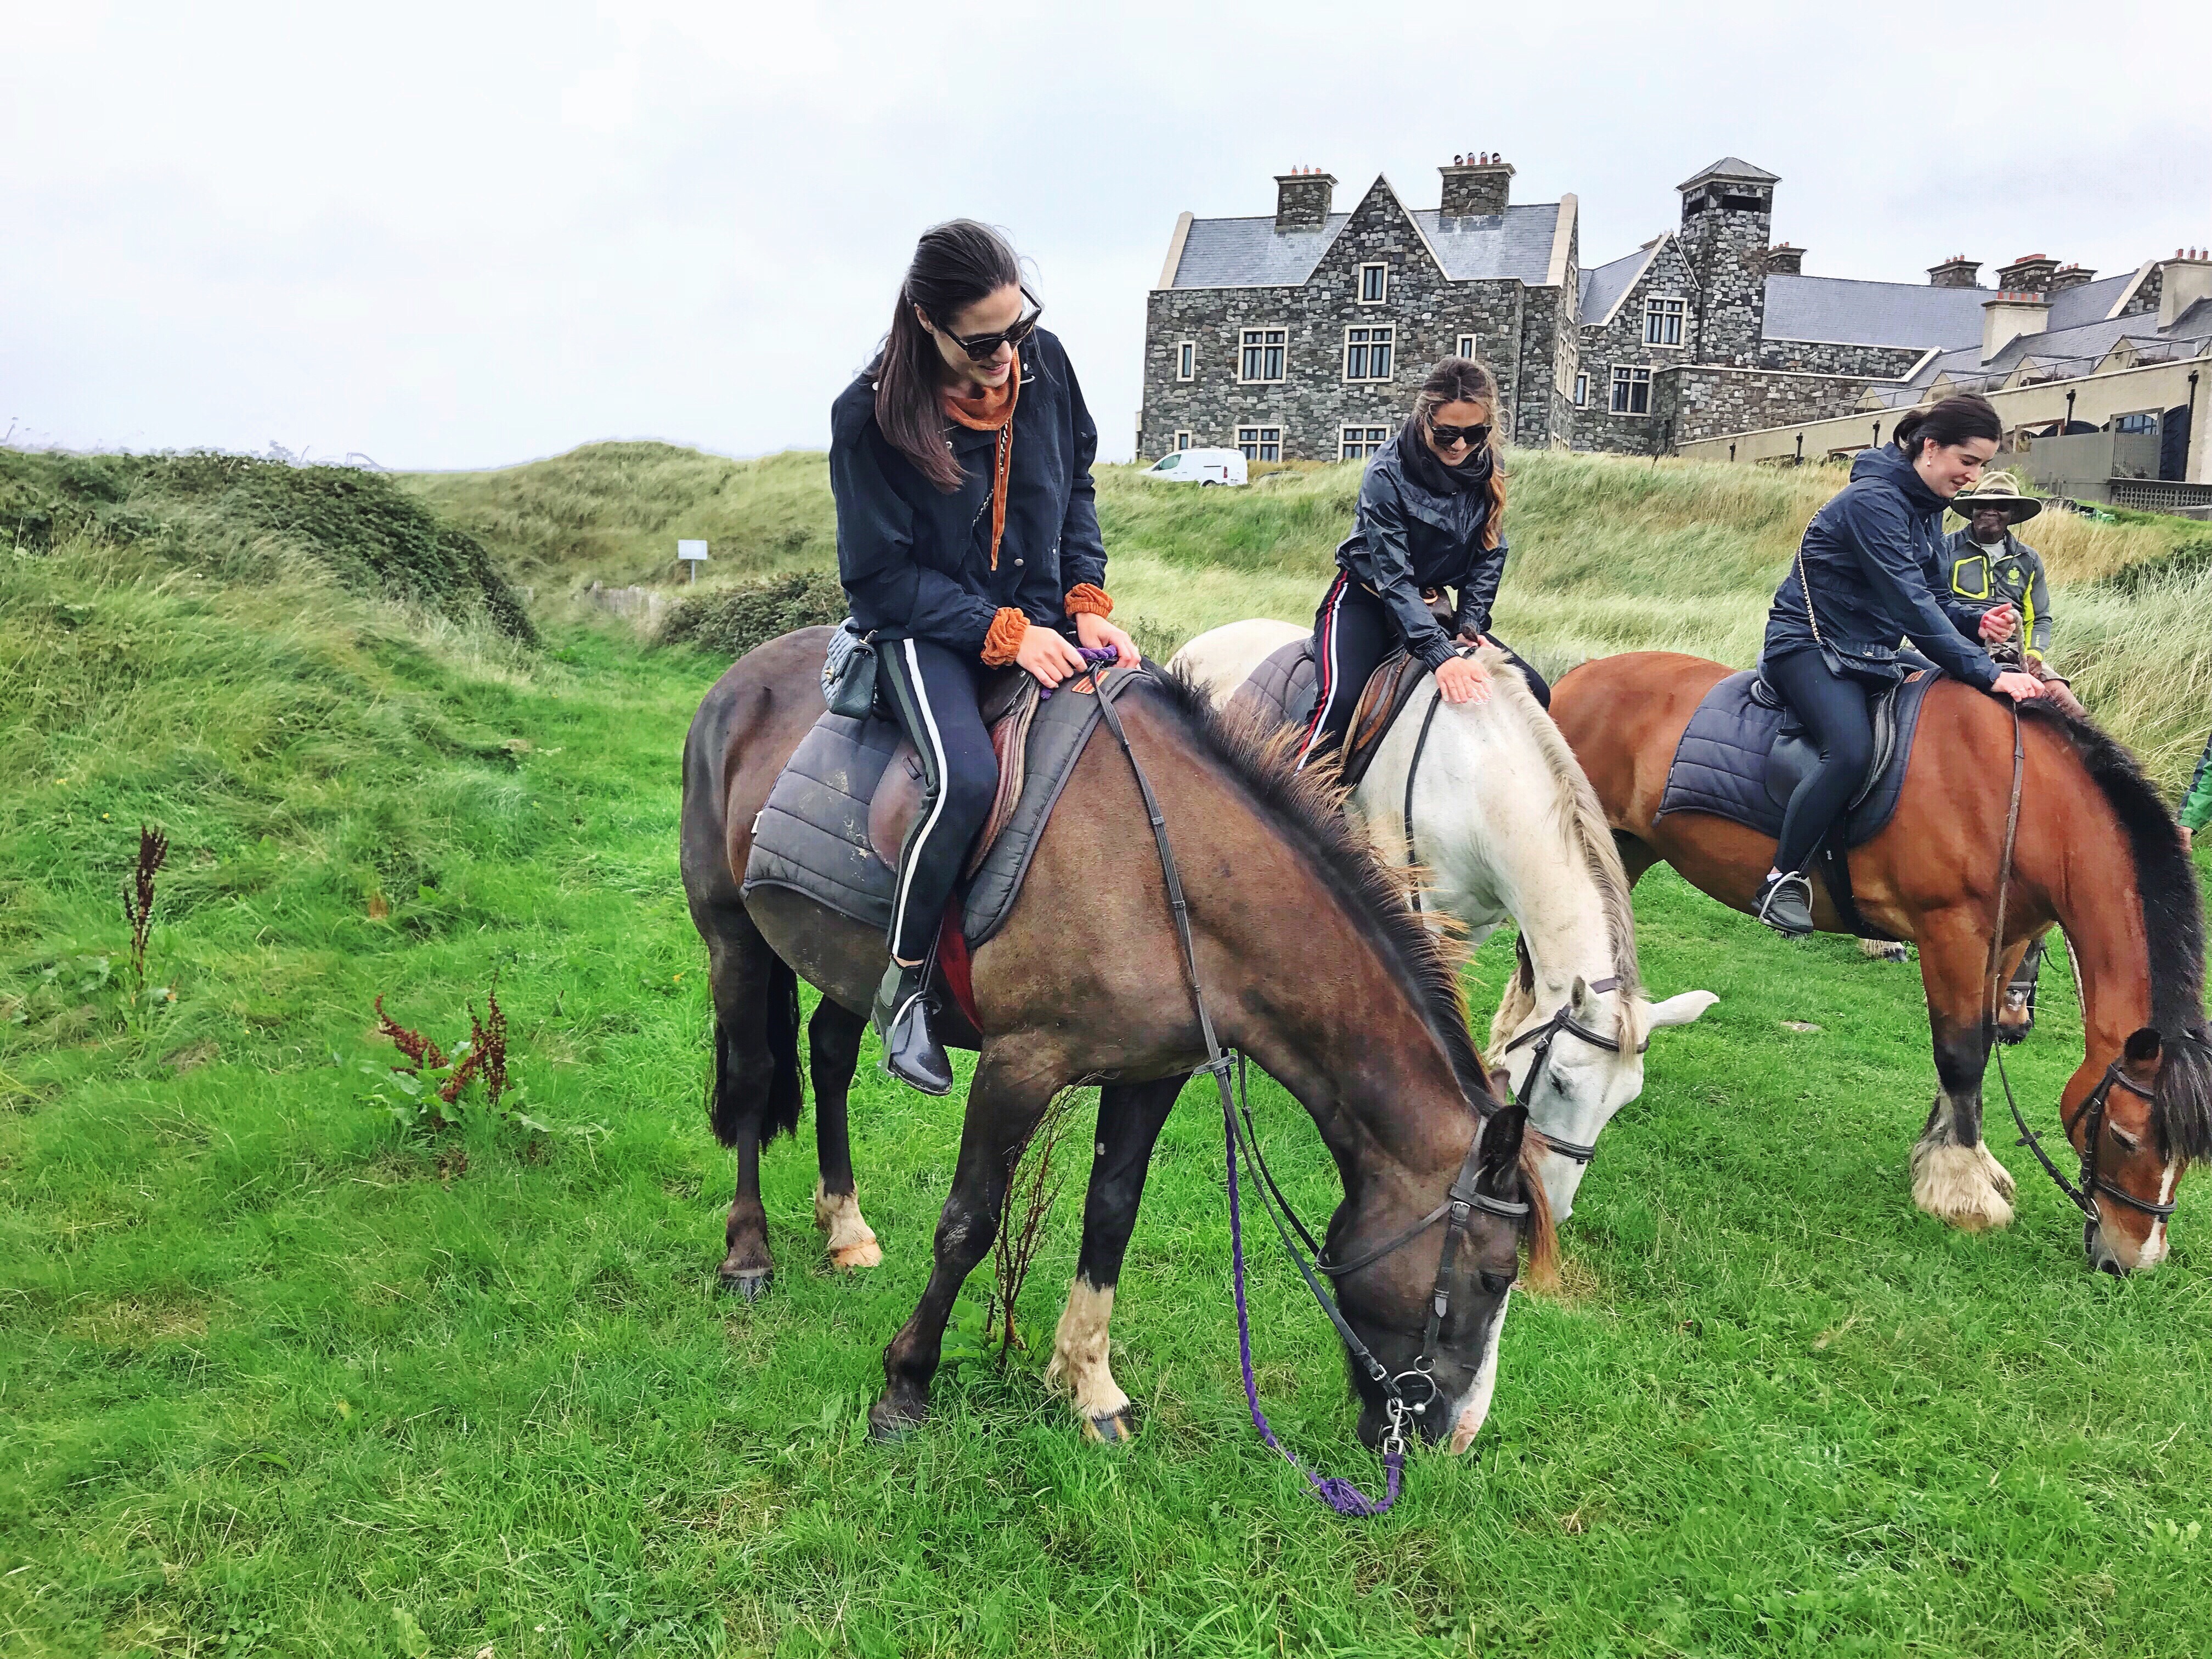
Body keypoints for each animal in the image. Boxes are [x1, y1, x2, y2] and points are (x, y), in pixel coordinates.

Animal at [672, 637, 1557, 1451]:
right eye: (1493, 1276)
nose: (1456, 1437)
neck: (1169, 871)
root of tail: (735, 682)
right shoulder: (1019, 1065)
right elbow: (969, 1224)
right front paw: (906, 1385)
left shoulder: (1153, 1075)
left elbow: (1111, 1217)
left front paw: (1088, 1386)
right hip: (731, 938)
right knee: (752, 1080)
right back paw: (748, 1255)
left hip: (842, 959)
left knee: (828, 1053)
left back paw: (845, 1226)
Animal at [1557, 654, 2212, 1283]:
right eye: (2126, 1137)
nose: (2133, 1261)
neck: (2024, 805)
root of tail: (1580, 675)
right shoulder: (1951, 930)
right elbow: (1961, 1054)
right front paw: (1963, 1189)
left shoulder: (2003, 943)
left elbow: (1972, 1046)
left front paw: (1949, 1159)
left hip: (1628, 850)